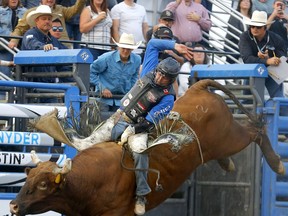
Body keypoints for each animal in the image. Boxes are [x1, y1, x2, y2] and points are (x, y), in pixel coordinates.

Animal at [8, 79, 284, 216]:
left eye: (43, 185)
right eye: (28, 178)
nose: (13, 206)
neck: (89, 180)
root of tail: (196, 87)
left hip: (229, 135)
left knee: (255, 132)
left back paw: (277, 163)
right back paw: (228, 163)